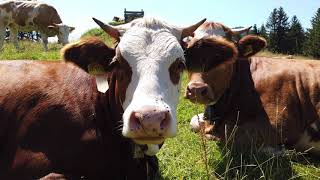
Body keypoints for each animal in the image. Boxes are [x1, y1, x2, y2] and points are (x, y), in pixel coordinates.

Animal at [184, 21, 320, 155]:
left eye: (226, 55)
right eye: (188, 54)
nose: (196, 89)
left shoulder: (279, 124)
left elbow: (226, 136)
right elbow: (194, 121)